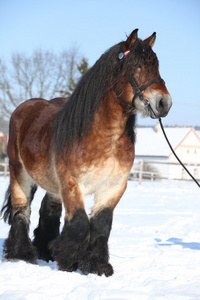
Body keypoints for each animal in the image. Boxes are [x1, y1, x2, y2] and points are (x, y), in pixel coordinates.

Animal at [0, 29, 172, 276]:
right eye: (137, 66)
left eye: (156, 66)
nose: (164, 103)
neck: (103, 139)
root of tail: (25, 108)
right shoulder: (72, 184)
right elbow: (80, 222)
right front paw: (69, 262)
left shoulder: (114, 187)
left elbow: (101, 225)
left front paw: (96, 265)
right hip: (19, 173)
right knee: (21, 209)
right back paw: (23, 254)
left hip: (52, 184)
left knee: (48, 210)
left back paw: (45, 251)